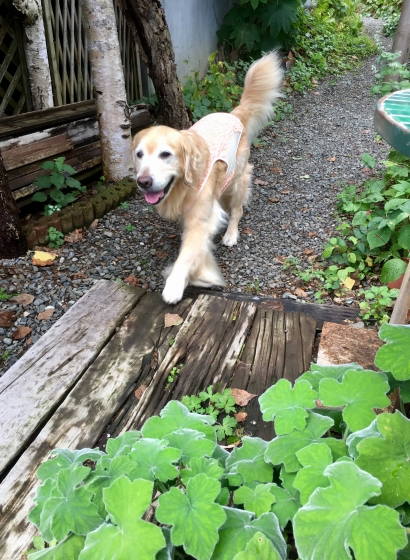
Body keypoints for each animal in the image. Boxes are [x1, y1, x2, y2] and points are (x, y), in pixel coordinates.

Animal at [132, 52, 283, 304]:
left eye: (165, 154)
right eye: (139, 154)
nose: (143, 182)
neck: (182, 185)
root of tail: (234, 114)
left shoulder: (200, 218)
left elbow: (189, 252)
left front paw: (176, 283)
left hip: (237, 179)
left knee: (237, 210)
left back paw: (231, 234)